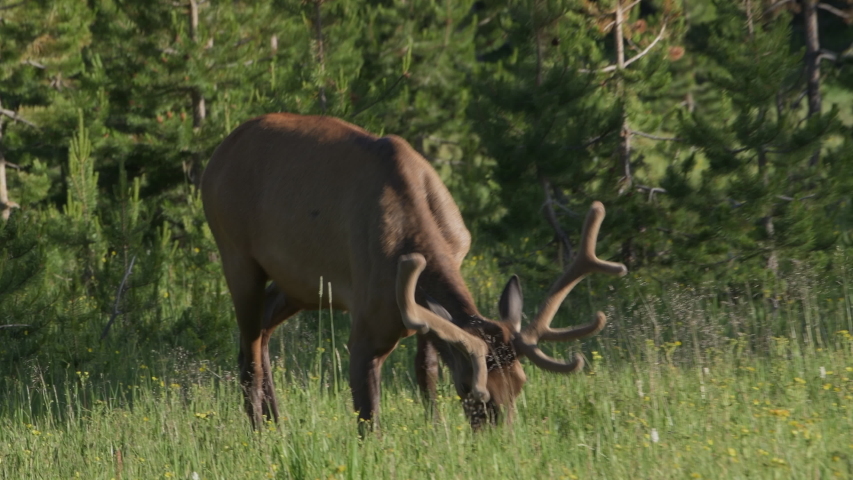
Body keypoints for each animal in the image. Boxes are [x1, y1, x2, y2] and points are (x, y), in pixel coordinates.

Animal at [200, 113, 627, 430]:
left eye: (520, 384)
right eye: (472, 389)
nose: (499, 437)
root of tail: (214, 158)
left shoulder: (424, 314)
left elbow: (427, 373)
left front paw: (436, 430)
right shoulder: (368, 321)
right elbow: (367, 412)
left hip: (299, 285)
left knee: (260, 334)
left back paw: (277, 423)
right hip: (236, 254)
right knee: (251, 353)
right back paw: (260, 433)